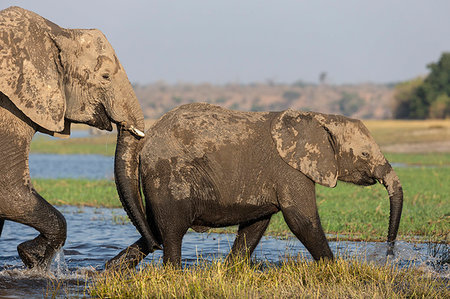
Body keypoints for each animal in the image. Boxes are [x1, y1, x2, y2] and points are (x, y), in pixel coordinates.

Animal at [0, 6, 161, 270]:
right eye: (105, 76)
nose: (156, 245)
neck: (58, 32)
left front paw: (31, 256)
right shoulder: (8, 107)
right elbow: (8, 191)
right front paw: (33, 258)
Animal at [110, 103, 404, 268]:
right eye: (364, 154)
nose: (389, 254)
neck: (318, 117)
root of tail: (146, 140)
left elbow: (256, 224)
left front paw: (231, 273)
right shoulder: (289, 169)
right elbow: (302, 220)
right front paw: (336, 271)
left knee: (153, 231)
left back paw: (108, 274)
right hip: (169, 174)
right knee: (171, 231)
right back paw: (173, 275)